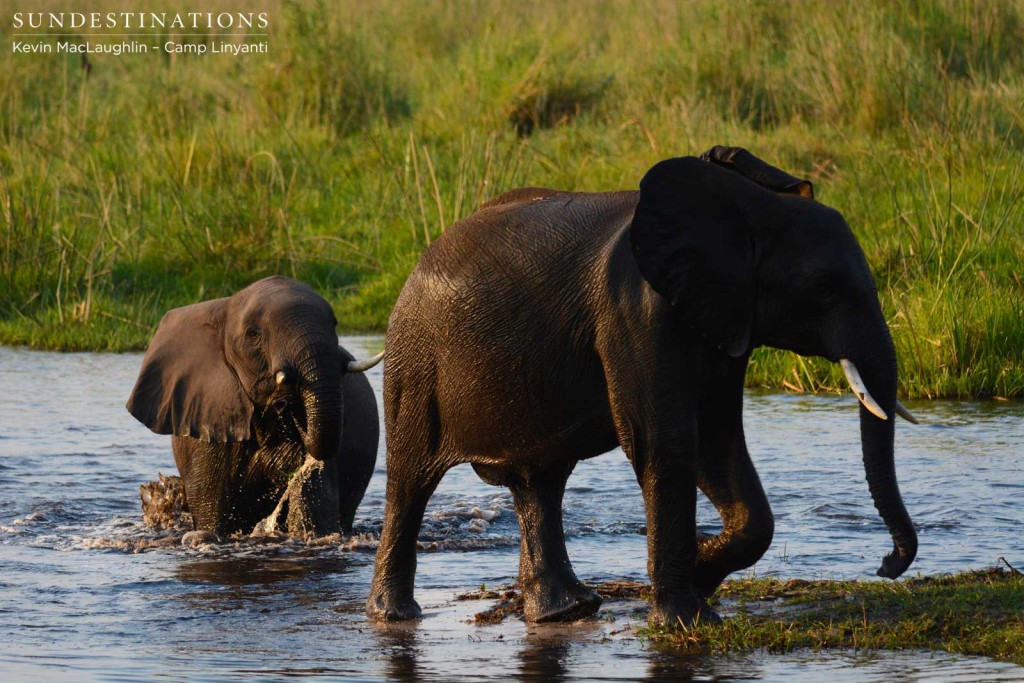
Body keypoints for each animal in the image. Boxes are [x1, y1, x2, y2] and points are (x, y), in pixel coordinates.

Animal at [368, 147, 921, 626]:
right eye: (825, 289)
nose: (885, 565)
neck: (740, 208)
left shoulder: (722, 313)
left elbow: (716, 438)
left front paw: (699, 573)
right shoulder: (636, 311)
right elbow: (665, 438)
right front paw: (686, 617)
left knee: (539, 482)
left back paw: (566, 612)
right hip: (415, 361)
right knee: (411, 482)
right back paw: (395, 615)